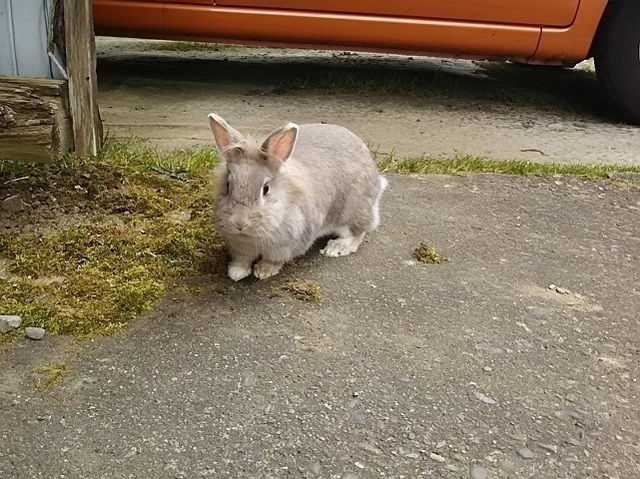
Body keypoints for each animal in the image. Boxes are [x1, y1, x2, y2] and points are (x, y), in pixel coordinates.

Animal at [210, 113, 388, 282]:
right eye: (228, 185)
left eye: (265, 189)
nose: (239, 223)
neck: (251, 237)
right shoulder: (238, 247)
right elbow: (242, 259)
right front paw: (236, 272)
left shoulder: (285, 246)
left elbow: (274, 260)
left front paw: (264, 271)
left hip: (351, 211)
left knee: (357, 234)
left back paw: (335, 248)